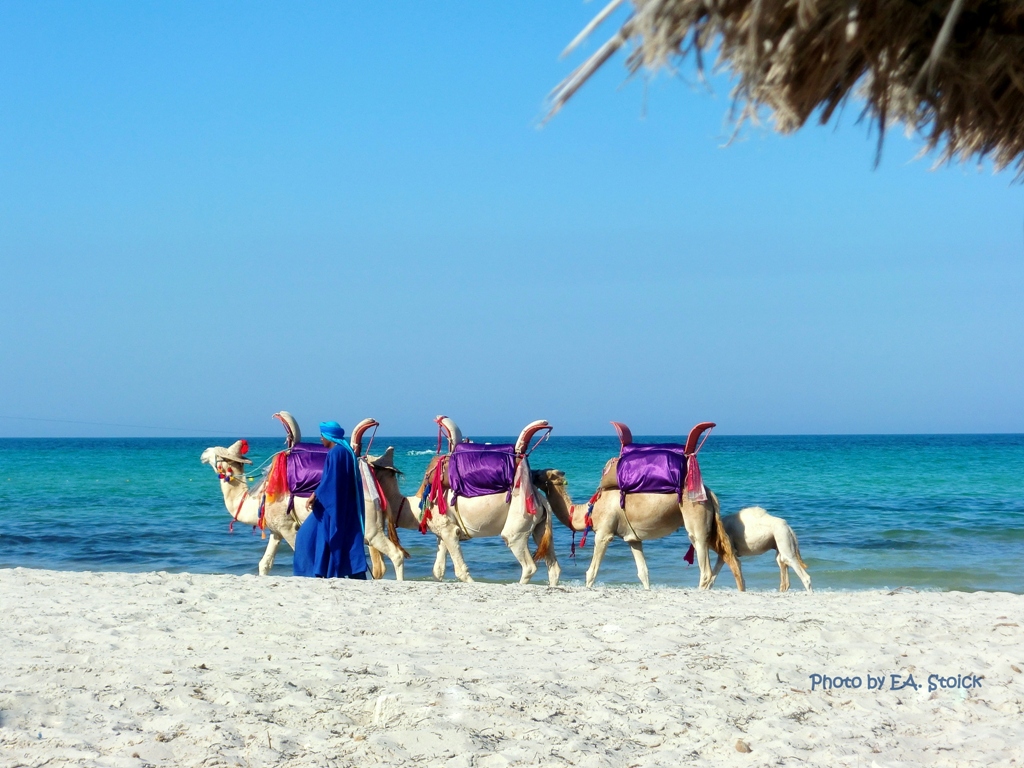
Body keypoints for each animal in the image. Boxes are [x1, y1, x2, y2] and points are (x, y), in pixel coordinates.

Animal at [528, 423, 745, 593]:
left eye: (542, 474)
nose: (531, 473)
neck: (590, 509)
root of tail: (709, 493)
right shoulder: (633, 539)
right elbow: (644, 573)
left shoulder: (604, 532)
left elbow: (591, 572)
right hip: (710, 525)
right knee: (730, 557)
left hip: (696, 519)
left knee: (705, 566)